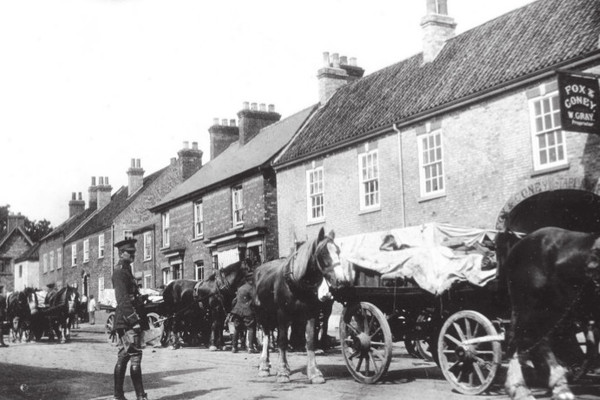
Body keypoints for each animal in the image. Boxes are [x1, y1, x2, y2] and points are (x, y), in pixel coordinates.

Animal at [252, 227, 340, 382]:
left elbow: (310, 340)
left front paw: (314, 372)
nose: (339, 280)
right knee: (267, 336)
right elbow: (282, 341)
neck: (296, 282)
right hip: (263, 314)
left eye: (338, 251)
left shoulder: (311, 313)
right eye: (323, 253)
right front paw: (282, 372)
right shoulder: (282, 313)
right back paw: (264, 366)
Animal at [494, 227, 600, 400]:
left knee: (539, 341)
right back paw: (521, 388)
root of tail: (518, 245)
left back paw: (559, 385)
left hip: (552, 311)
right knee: (521, 340)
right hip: (529, 307)